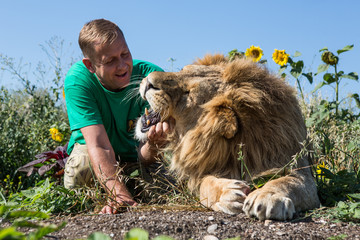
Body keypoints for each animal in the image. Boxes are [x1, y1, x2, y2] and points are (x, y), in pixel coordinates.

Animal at [134, 54, 320, 219]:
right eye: (182, 71)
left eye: (188, 94)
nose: (148, 81)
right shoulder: (199, 173)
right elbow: (206, 184)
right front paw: (228, 193)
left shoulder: (300, 170)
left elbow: (286, 182)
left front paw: (267, 197)